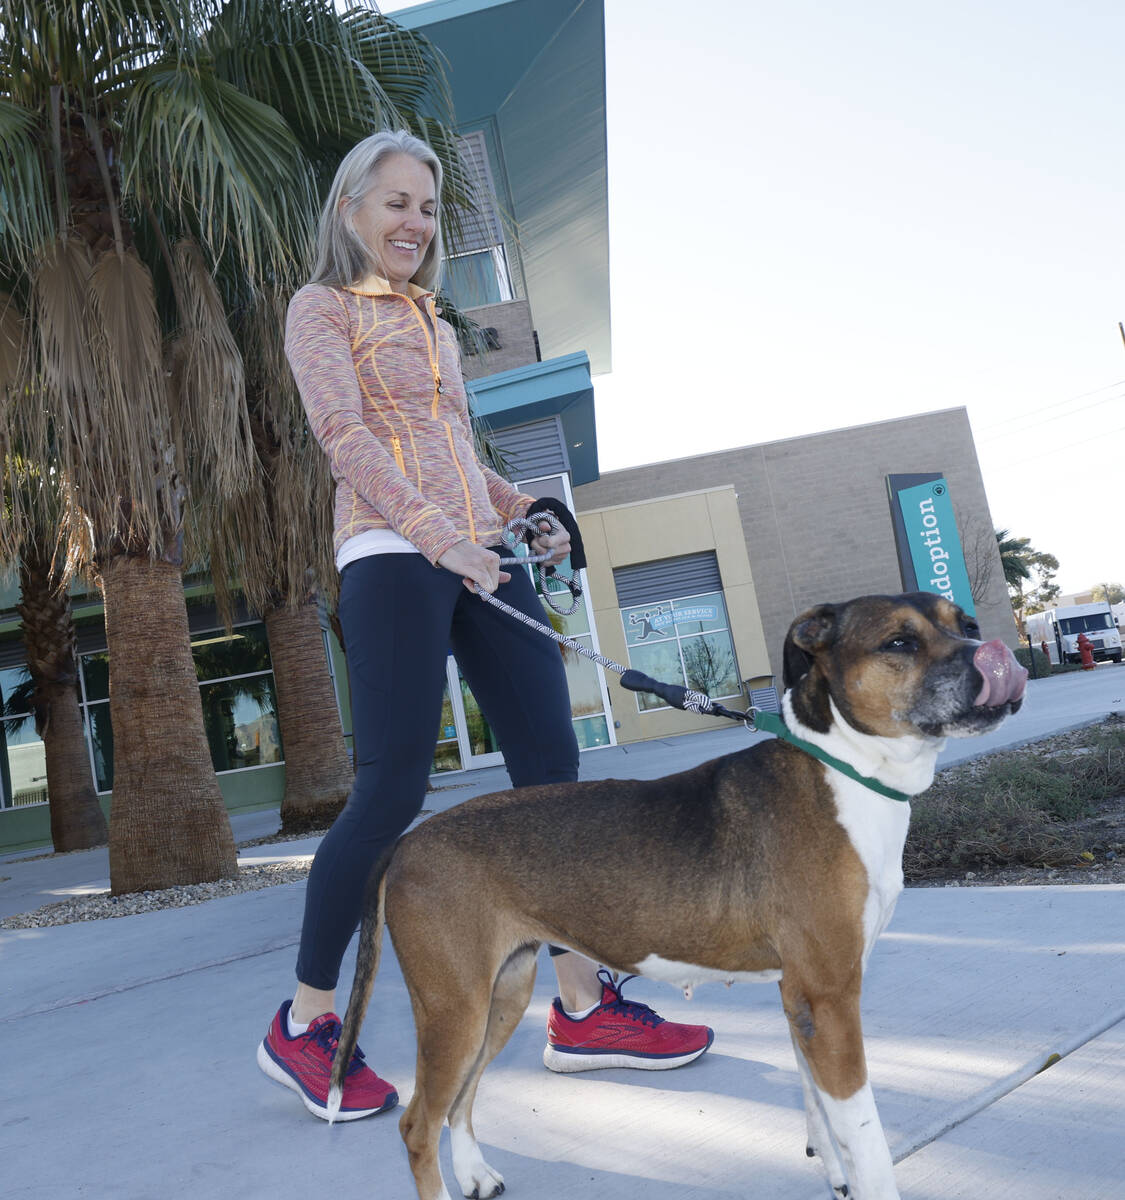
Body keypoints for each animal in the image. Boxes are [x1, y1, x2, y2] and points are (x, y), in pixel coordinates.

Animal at [326, 592, 1026, 1200]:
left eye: (964, 622)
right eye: (899, 642)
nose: (990, 653)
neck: (844, 769)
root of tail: (407, 841)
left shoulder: (799, 998)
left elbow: (820, 1113)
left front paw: (834, 1173)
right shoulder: (829, 999)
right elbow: (867, 1138)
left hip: (499, 997)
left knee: (461, 1102)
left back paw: (474, 1174)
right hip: (454, 1010)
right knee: (418, 1124)